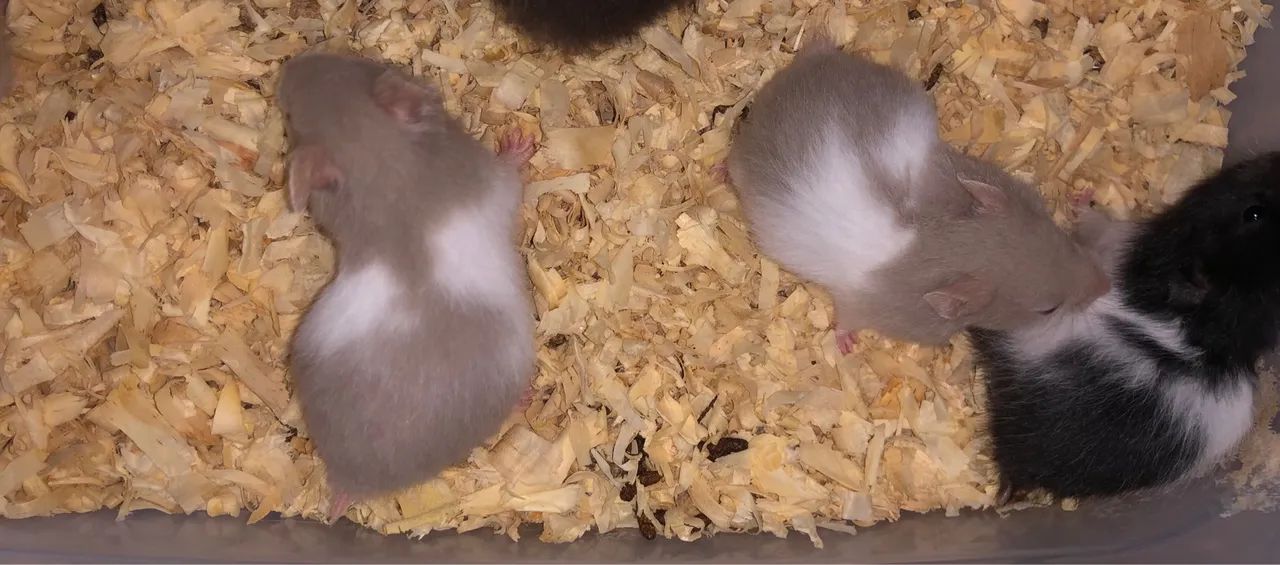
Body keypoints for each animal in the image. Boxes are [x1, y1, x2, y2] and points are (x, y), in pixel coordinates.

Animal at [278, 52, 537, 516]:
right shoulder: (493, 180)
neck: (382, 166)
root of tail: (351, 481)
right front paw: (520, 142)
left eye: (355, 59)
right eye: (288, 118)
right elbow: (511, 175)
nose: (288, 66)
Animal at [727, 37, 1108, 351]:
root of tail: (806, 63)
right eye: (1048, 310)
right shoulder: (861, 306)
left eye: (1063, 239)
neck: (949, 241)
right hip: (744, 164)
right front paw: (845, 345)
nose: (1105, 285)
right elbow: (846, 320)